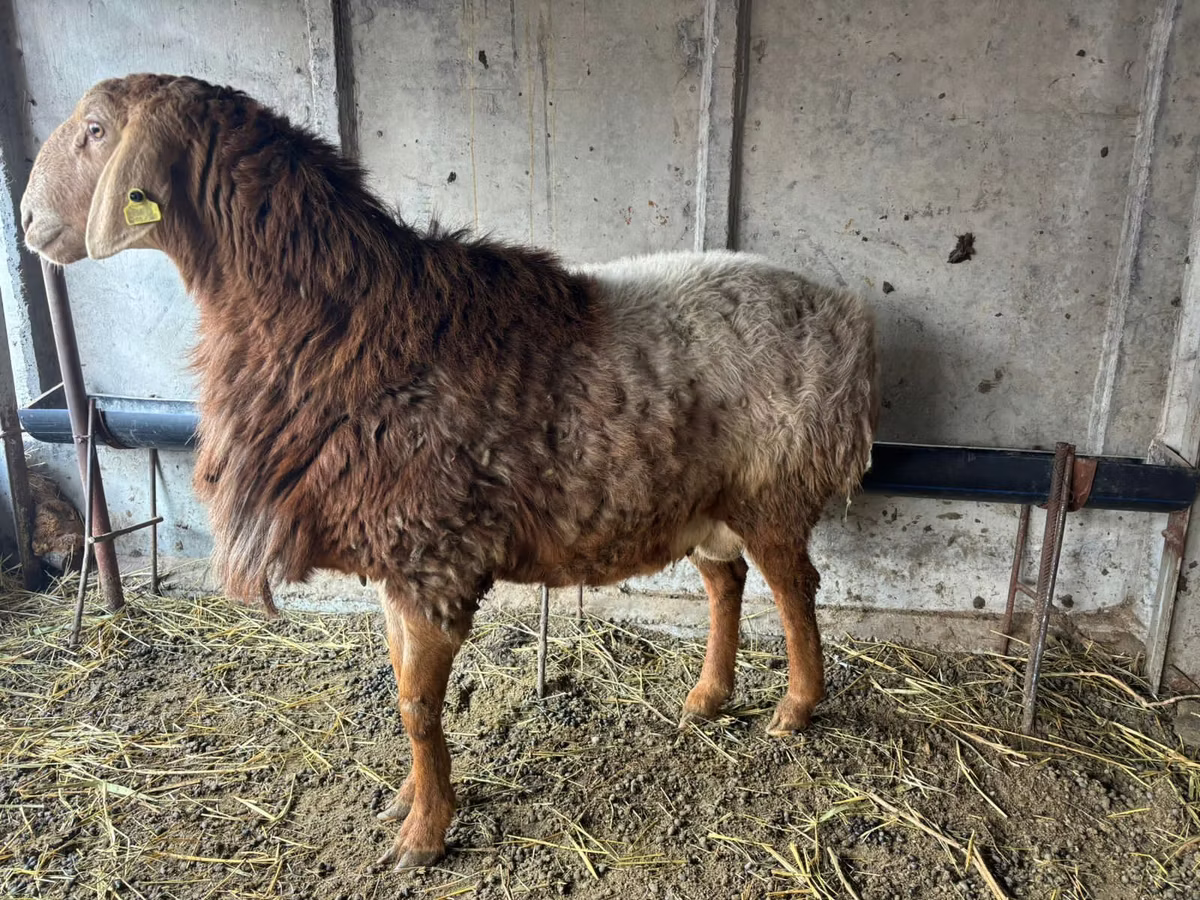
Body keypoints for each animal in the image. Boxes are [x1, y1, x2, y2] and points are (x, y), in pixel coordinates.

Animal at [20, 73, 881, 869]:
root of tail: (845, 317)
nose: (27, 221)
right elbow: (406, 690)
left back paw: (797, 707)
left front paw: (423, 836)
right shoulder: (395, 561)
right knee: (725, 582)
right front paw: (410, 799)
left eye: (96, 130)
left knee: (793, 590)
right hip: (707, 497)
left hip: (773, 486)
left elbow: (414, 703)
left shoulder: (433, 554)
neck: (348, 322)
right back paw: (707, 697)